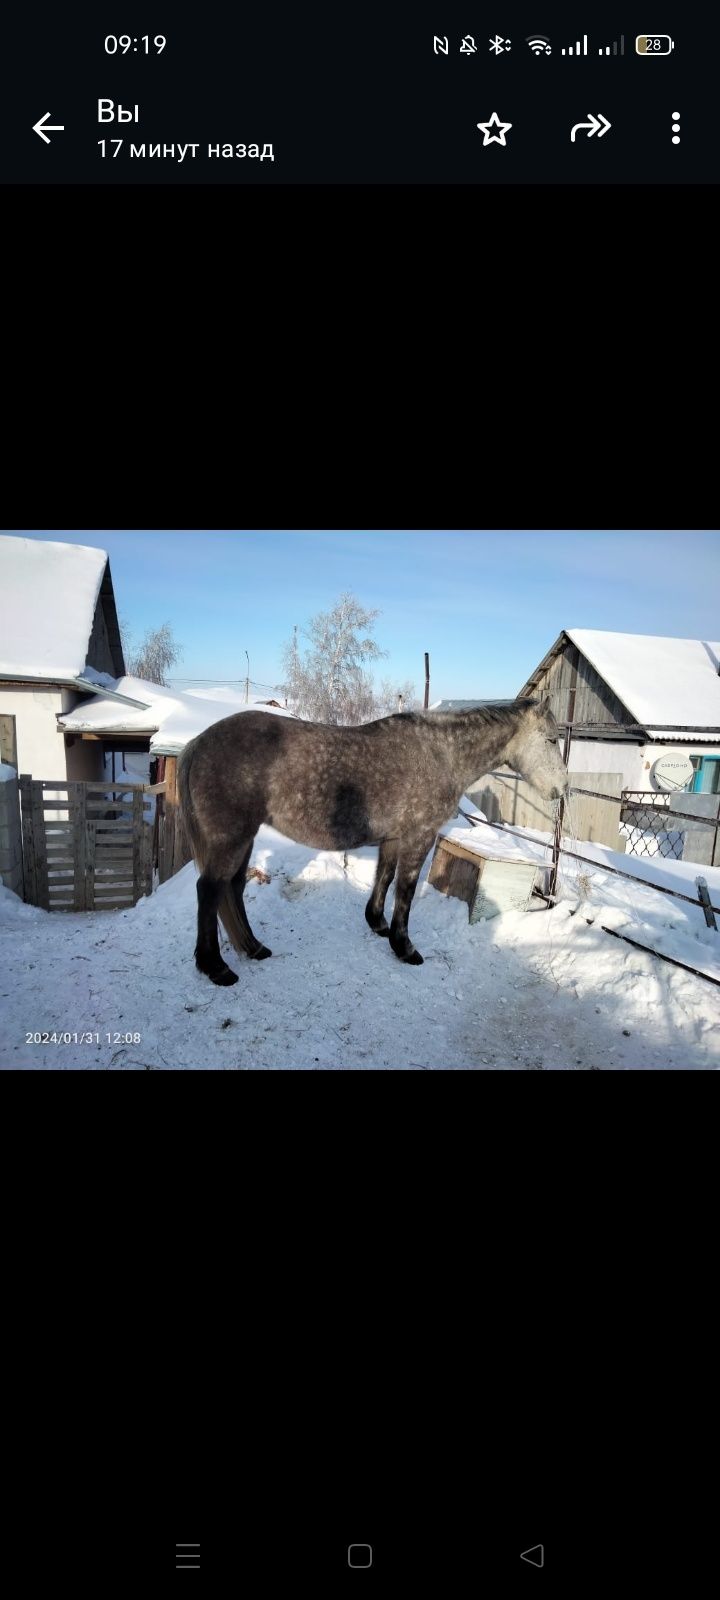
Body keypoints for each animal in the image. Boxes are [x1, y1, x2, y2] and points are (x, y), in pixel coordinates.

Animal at [176, 704, 569, 985]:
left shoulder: (394, 838)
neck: (442, 754)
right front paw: (405, 947)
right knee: (208, 891)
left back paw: (254, 948)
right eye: (551, 739)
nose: (563, 789)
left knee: (233, 889)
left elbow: (385, 876)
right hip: (231, 838)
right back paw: (216, 968)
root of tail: (197, 743)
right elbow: (405, 890)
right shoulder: (419, 837)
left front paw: (378, 924)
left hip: (243, 839)